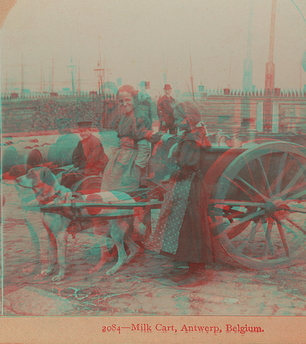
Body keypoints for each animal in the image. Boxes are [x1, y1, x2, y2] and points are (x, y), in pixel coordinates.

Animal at [13, 165, 143, 280]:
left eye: (31, 173)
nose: (16, 179)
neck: (51, 198)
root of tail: (129, 198)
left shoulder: (60, 235)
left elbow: (60, 258)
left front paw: (60, 276)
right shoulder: (50, 235)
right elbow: (51, 256)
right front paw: (48, 271)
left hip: (110, 233)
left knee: (118, 254)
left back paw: (112, 269)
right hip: (118, 232)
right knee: (135, 248)